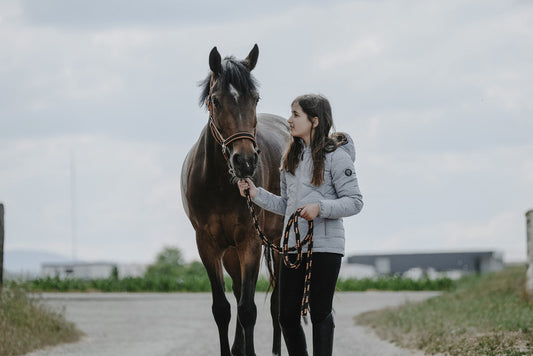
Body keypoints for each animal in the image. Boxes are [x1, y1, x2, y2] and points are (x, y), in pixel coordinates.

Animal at [182, 45, 290, 356]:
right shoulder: (207, 245)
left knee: (276, 303)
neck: (219, 185)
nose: (245, 161)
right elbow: (223, 308)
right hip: (231, 252)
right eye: (216, 101)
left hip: (278, 243)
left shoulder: (251, 242)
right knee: (239, 289)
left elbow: (248, 310)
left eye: (255, 98)